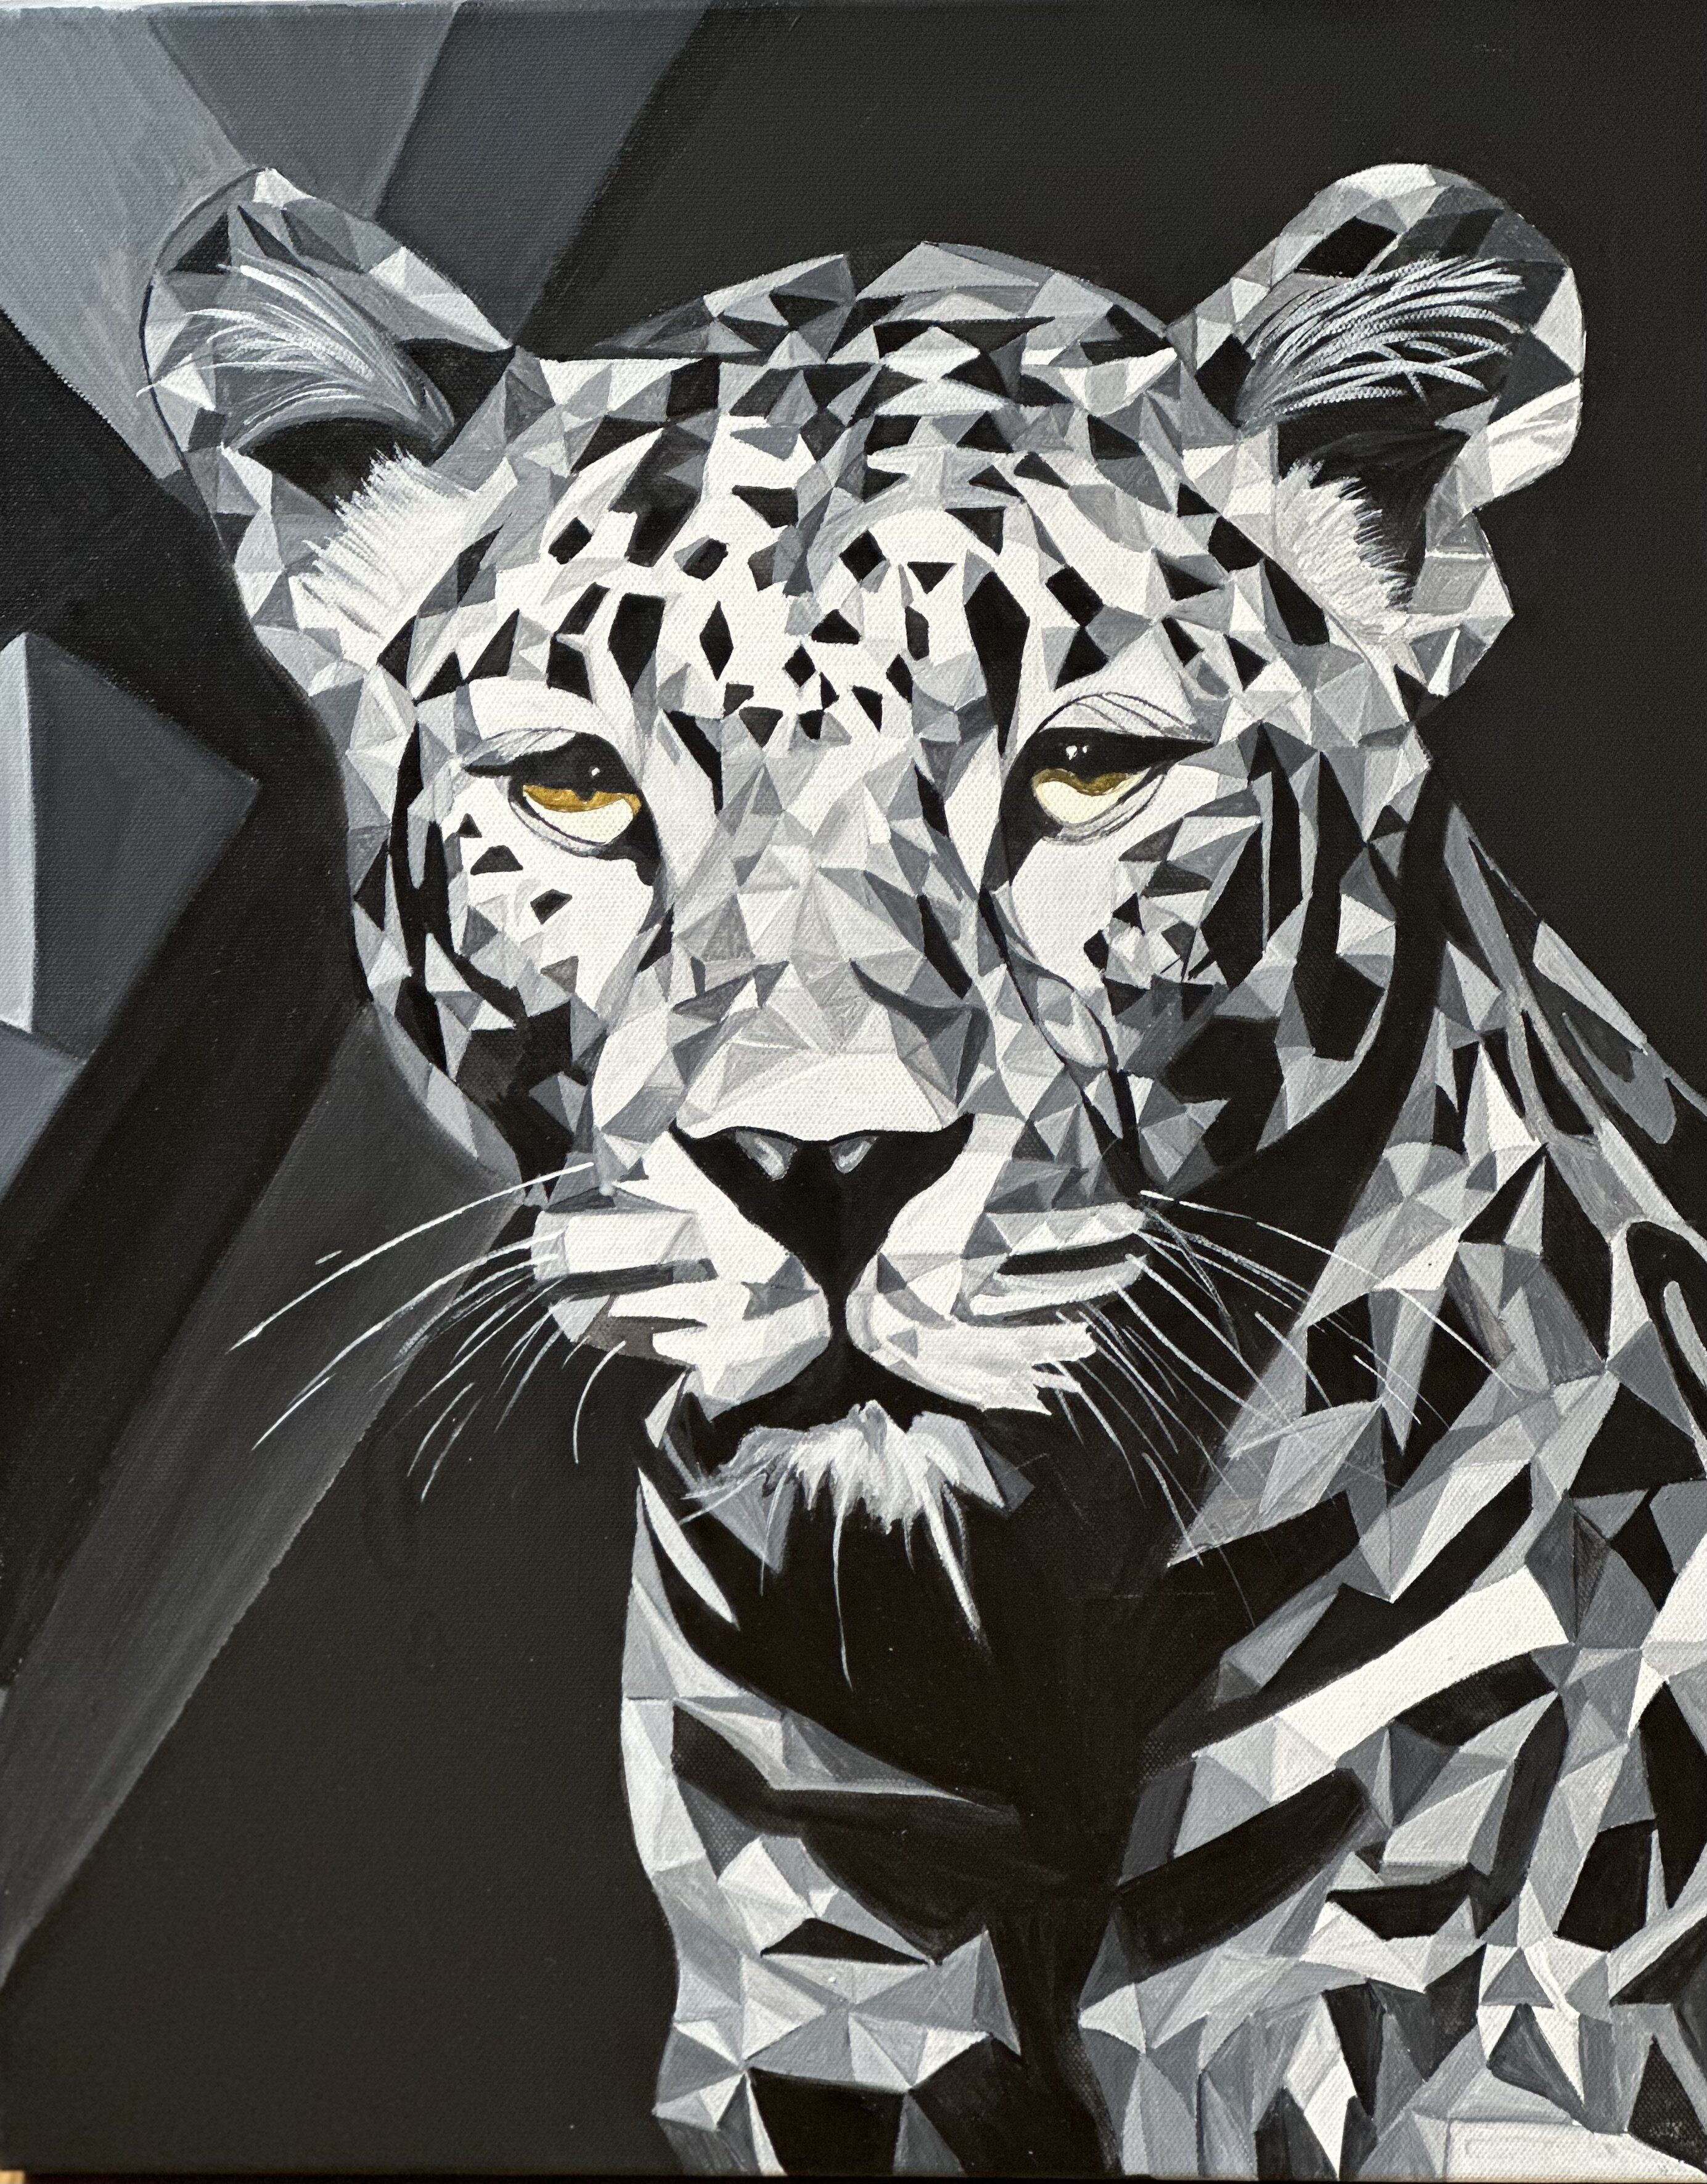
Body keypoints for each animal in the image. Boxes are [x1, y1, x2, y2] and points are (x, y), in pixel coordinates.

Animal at [145, 163, 1707, 2177]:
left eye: (1085, 768)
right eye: (574, 787)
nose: (818, 1163)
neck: (988, 1629)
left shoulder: (1460, 2004)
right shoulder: (814, 2012)